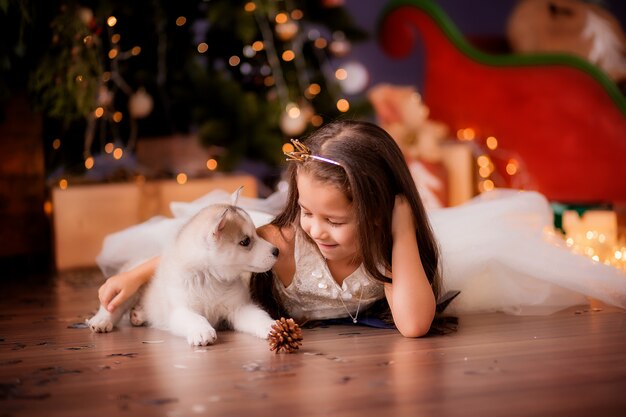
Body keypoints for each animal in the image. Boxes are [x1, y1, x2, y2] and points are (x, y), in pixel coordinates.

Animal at [86, 189, 278, 344]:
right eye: (245, 241)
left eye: (256, 233)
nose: (276, 251)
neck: (210, 278)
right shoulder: (180, 310)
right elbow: (195, 317)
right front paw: (202, 331)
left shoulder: (239, 308)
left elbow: (258, 316)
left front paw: (271, 326)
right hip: (129, 289)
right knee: (112, 307)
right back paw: (101, 321)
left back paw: (139, 314)